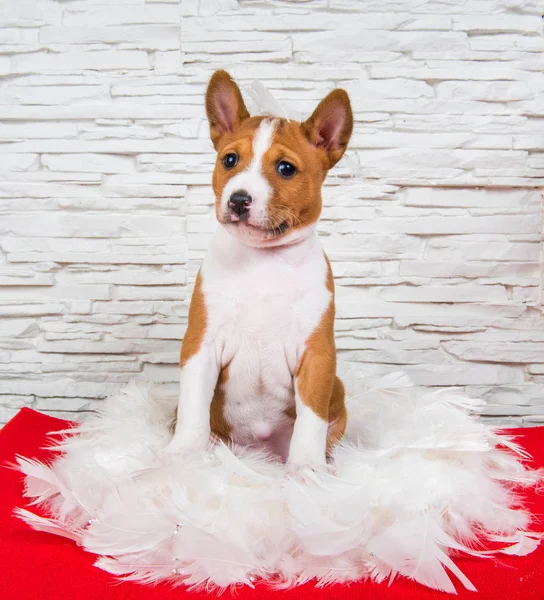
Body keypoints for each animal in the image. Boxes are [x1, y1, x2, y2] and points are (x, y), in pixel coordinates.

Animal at [170, 70, 354, 472]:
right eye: (229, 160)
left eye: (286, 169)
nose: (239, 199)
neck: (262, 262)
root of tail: (260, 452)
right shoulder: (201, 345)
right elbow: (193, 408)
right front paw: (182, 456)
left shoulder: (317, 357)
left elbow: (311, 420)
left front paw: (307, 471)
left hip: (338, 389)